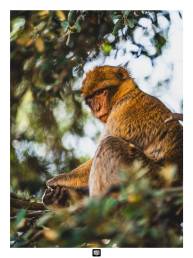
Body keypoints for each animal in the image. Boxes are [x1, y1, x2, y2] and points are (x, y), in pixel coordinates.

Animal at [41, 66, 182, 206]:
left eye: (101, 92)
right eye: (91, 98)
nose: (97, 108)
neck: (126, 93)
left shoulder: (122, 111)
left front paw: (59, 179)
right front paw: (59, 196)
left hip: (149, 177)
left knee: (109, 143)